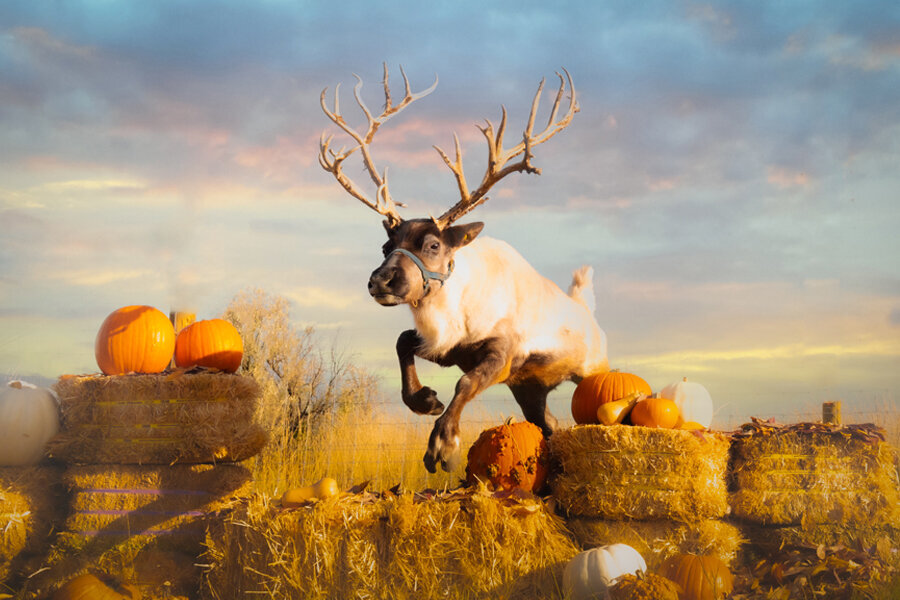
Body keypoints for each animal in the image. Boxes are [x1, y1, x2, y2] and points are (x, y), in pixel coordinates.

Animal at [319, 65, 609, 473]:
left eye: (433, 245)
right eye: (386, 246)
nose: (380, 280)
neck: (454, 309)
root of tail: (585, 308)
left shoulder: (503, 354)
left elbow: (466, 385)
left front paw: (444, 446)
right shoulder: (445, 349)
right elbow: (402, 342)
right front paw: (425, 400)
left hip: (592, 370)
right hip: (529, 388)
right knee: (549, 424)